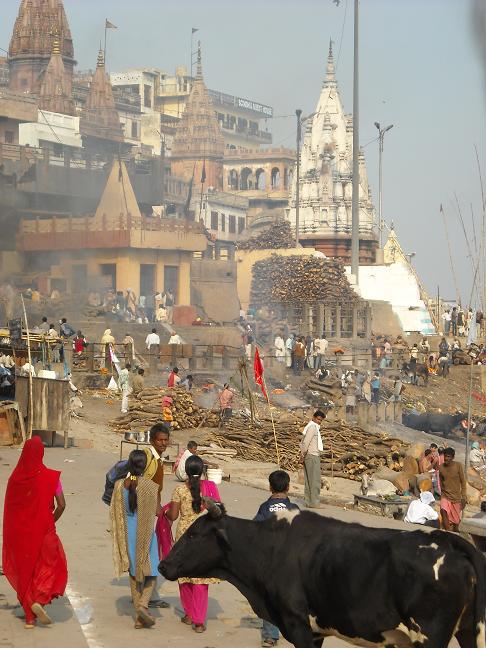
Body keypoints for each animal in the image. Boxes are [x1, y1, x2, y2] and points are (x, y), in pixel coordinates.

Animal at [161, 502, 486, 648]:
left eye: (193, 534)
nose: (163, 565)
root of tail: (450, 540)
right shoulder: (316, 631)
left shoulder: (299, 625)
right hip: (467, 631)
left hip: (429, 637)